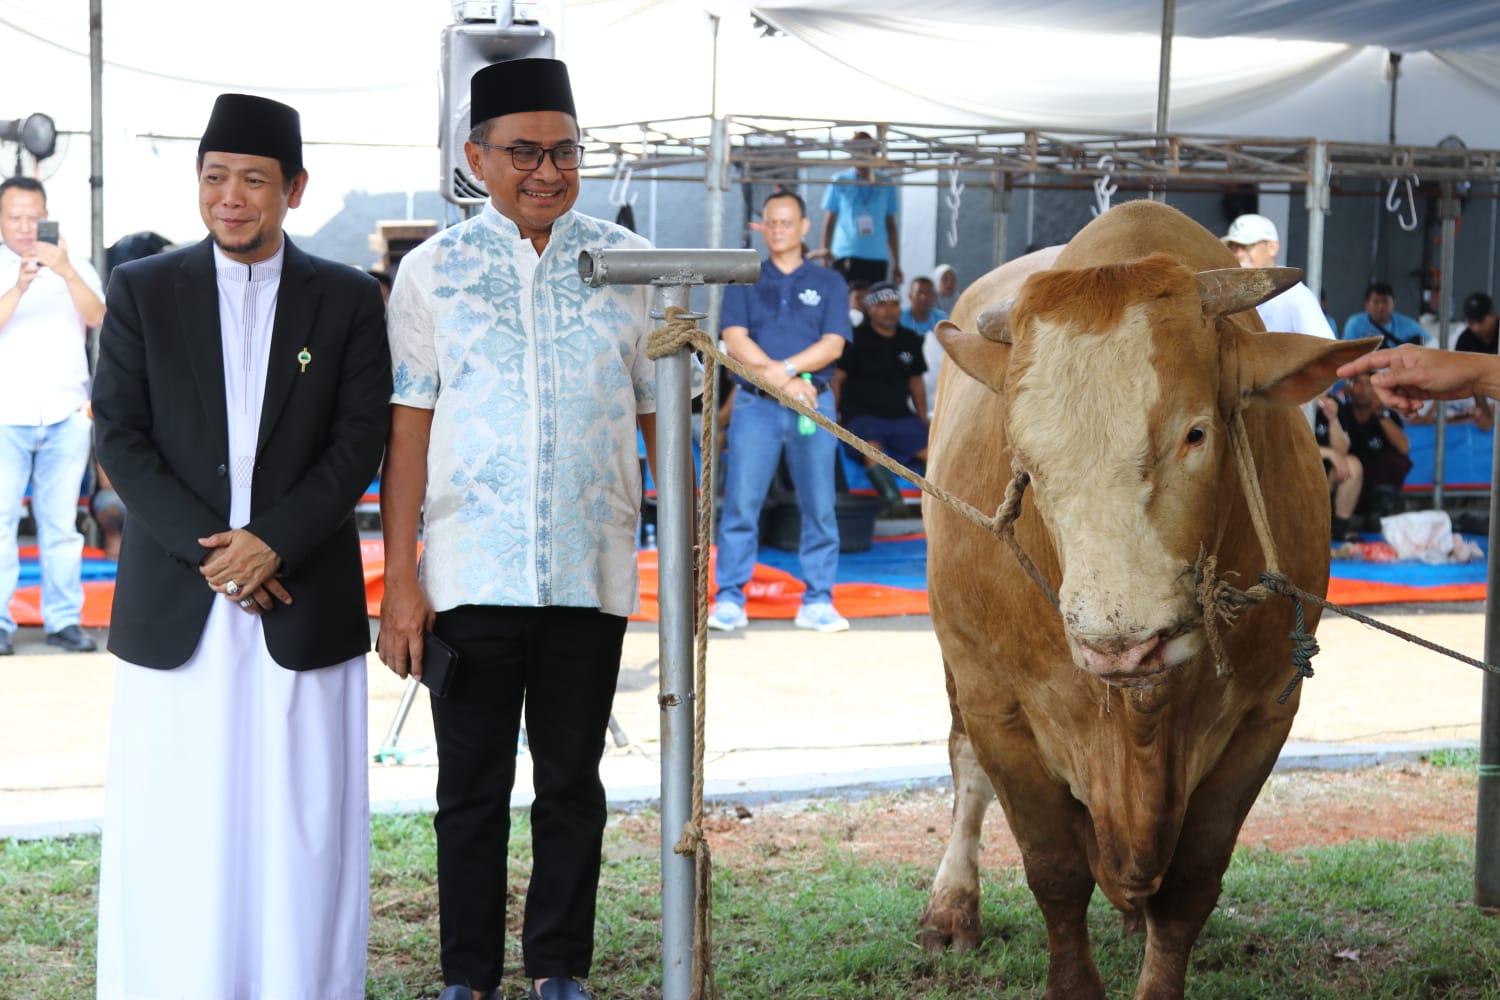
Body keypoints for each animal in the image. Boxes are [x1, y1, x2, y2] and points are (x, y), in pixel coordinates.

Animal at [912, 199, 1374, 995]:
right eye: (1025, 460)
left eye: (1196, 433)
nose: (1121, 646)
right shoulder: (999, 703)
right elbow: (1056, 871)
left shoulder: (1265, 714)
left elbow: (1189, 885)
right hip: (959, 665)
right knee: (965, 766)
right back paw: (952, 906)